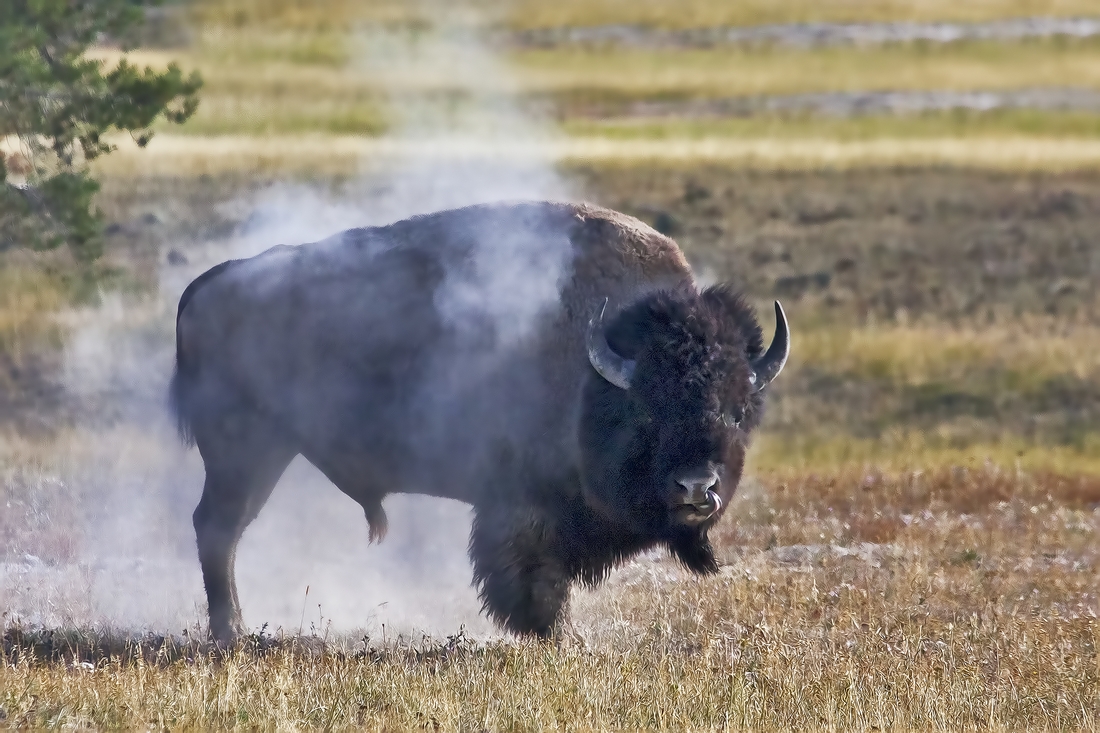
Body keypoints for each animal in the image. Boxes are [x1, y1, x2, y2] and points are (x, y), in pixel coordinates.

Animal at [171, 200, 787, 638]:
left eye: (738, 411)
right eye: (647, 407)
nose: (697, 488)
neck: (600, 369)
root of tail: (209, 285)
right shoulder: (525, 509)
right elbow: (536, 581)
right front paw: (558, 637)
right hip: (244, 451)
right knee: (217, 527)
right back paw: (233, 634)